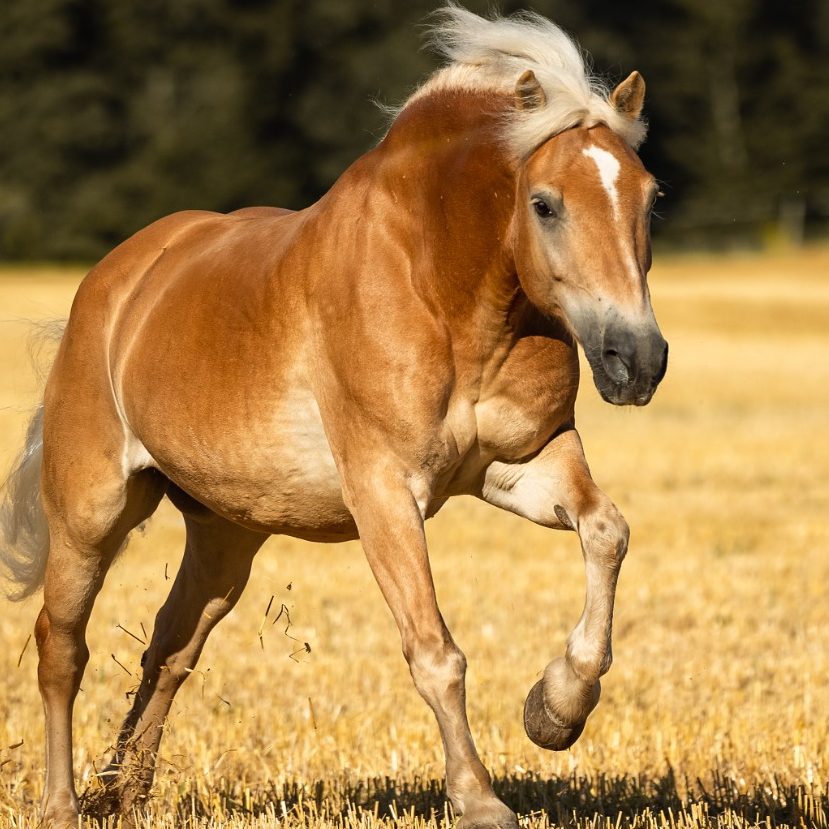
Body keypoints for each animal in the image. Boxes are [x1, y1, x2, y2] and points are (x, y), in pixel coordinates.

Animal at [0, 7, 667, 827]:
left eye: (648, 199)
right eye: (544, 203)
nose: (636, 359)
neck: (443, 286)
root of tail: (112, 285)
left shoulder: (524, 461)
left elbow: (607, 531)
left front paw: (556, 709)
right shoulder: (383, 492)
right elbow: (435, 651)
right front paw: (479, 798)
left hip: (225, 533)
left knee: (171, 647)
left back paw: (121, 793)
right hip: (90, 513)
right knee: (62, 647)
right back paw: (63, 804)